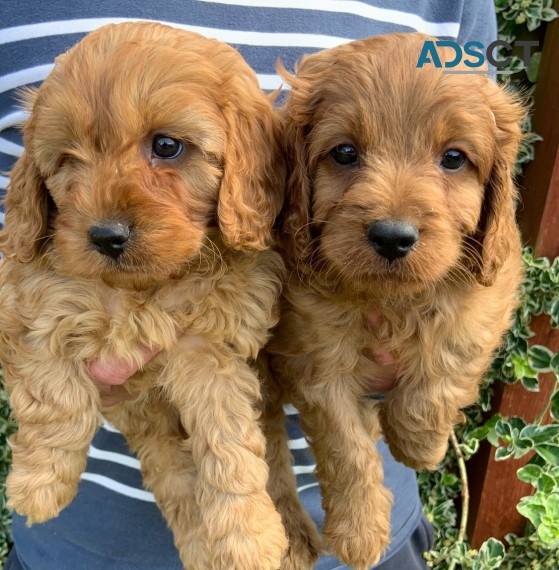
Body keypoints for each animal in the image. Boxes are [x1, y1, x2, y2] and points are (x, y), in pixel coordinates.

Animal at [0, 22, 288, 568]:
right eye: (67, 159)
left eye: (167, 145)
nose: (105, 236)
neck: (144, 290)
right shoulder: (31, 305)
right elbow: (56, 393)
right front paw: (39, 485)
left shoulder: (209, 348)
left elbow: (228, 443)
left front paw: (249, 535)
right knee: (174, 479)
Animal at [264, 33, 528, 564]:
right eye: (344, 152)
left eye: (454, 158)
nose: (392, 237)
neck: (391, 302)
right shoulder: (314, 358)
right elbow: (345, 446)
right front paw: (360, 532)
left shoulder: (490, 289)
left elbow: (444, 361)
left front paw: (417, 445)